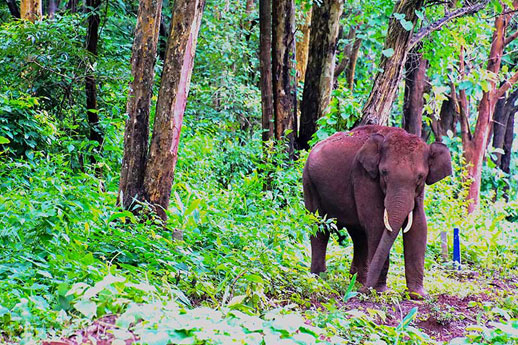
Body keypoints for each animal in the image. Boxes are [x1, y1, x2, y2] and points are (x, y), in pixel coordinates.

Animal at [302, 124, 452, 296]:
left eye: (420, 177)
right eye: (384, 173)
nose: (364, 291)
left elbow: (418, 226)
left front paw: (417, 295)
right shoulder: (364, 177)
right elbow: (377, 225)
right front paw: (381, 292)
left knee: (358, 235)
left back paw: (357, 281)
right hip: (309, 183)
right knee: (320, 229)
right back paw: (320, 279)